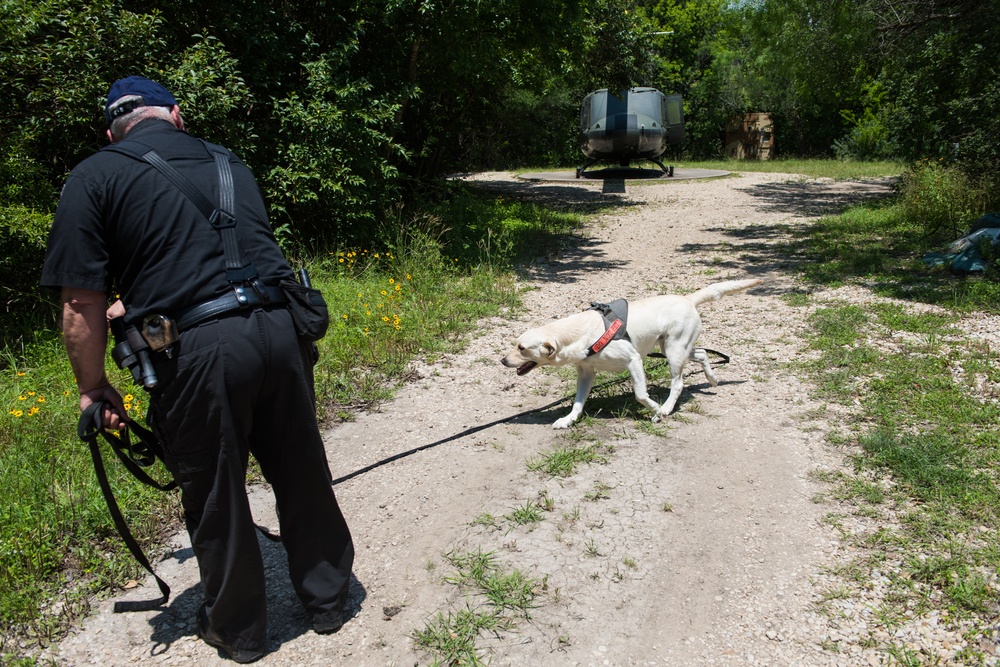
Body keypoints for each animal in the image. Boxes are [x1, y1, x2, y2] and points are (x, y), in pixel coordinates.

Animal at [504, 280, 760, 430]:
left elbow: (640, 394)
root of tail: (687, 299)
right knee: (702, 352)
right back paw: (712, 378)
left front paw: (656, 410)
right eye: (516, 344)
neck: (580, 334)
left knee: (678, 383)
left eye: (522, 348)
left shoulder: (633, 360)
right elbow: (578, 402)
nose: (503, 360)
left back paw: (667, 408)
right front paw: (568, 420)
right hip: (672, 348)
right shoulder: (586, 373)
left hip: (674, 351)